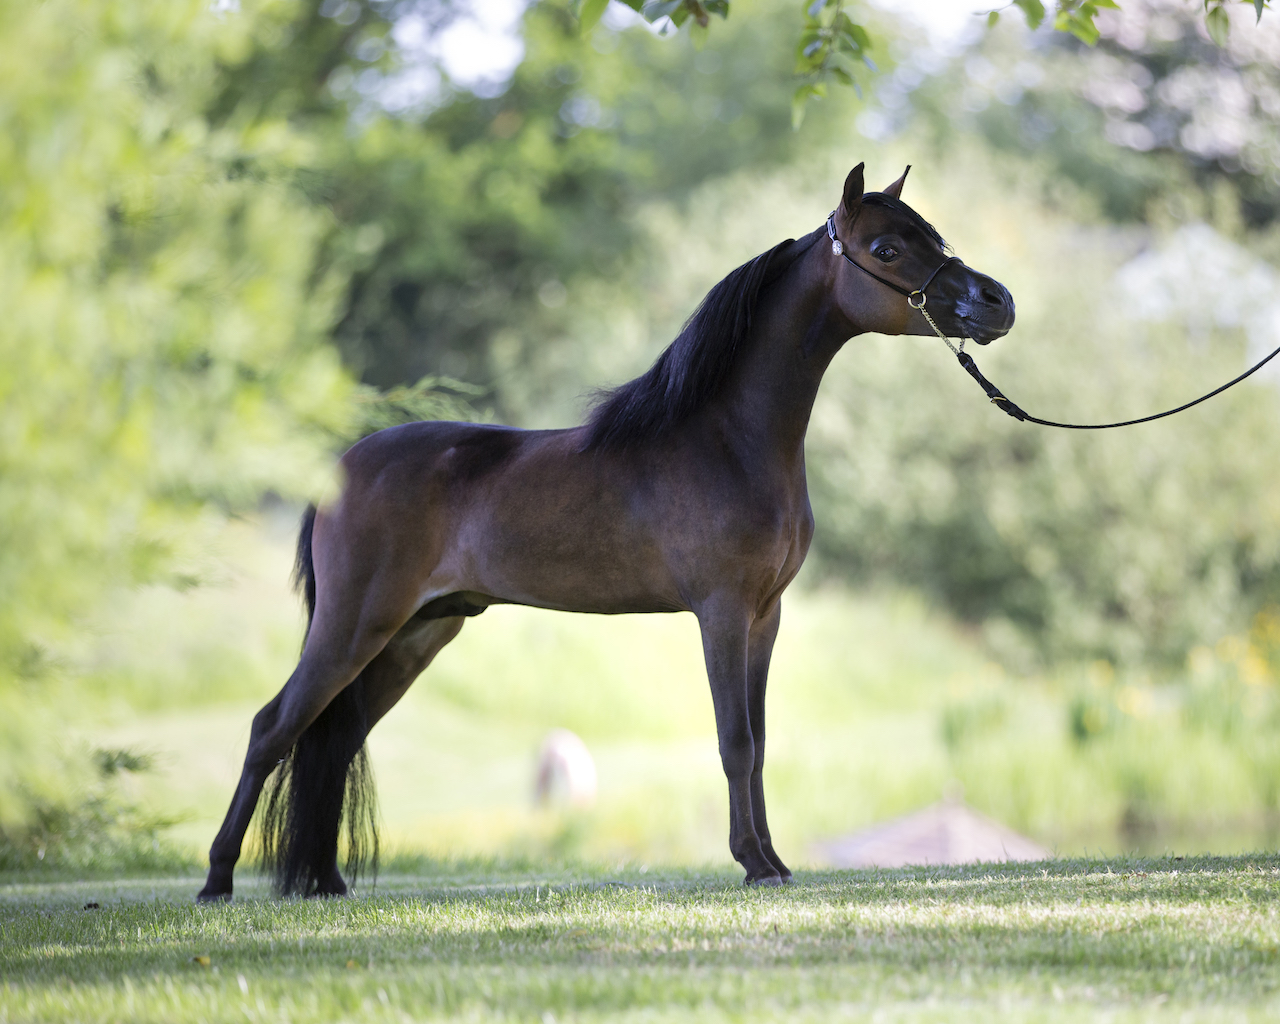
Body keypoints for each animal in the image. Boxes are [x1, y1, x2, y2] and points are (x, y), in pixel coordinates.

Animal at [196, 162, 1015, 900]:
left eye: (934, 236)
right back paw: (217, 881)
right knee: (273, 728)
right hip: (354, 624)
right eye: (887, 248)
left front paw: (774, 860)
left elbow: (757, 741)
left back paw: (326, 881)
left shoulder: (765, 616)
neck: (729, 441)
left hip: (416, 633)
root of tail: (337, 471)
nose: (997, 301)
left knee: (336, 740)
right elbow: (735, 740)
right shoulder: (721, 612)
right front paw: (753, 864)